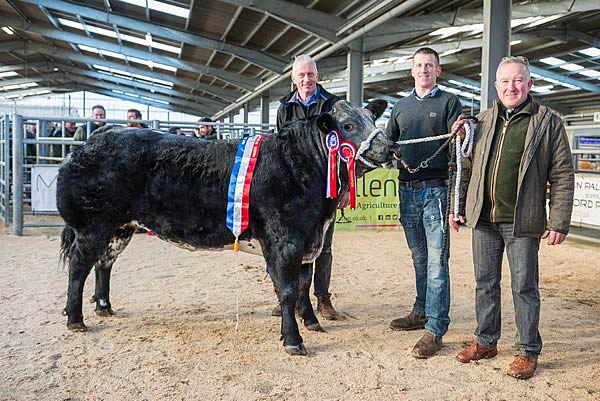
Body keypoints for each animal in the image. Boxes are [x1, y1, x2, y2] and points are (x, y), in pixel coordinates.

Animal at [57, 99, 398, 354]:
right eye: (348, 125)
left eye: (372, 118)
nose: (391, 147)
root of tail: (88, 144)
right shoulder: (284, 241)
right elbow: (288, 290)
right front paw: (293, 340)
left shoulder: (307, 240)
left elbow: (304, 283)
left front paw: (312, 322)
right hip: (93, 225)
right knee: (79, 266)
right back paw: (76, 319)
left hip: (120, 228)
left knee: (104, 264)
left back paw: (104, 306)